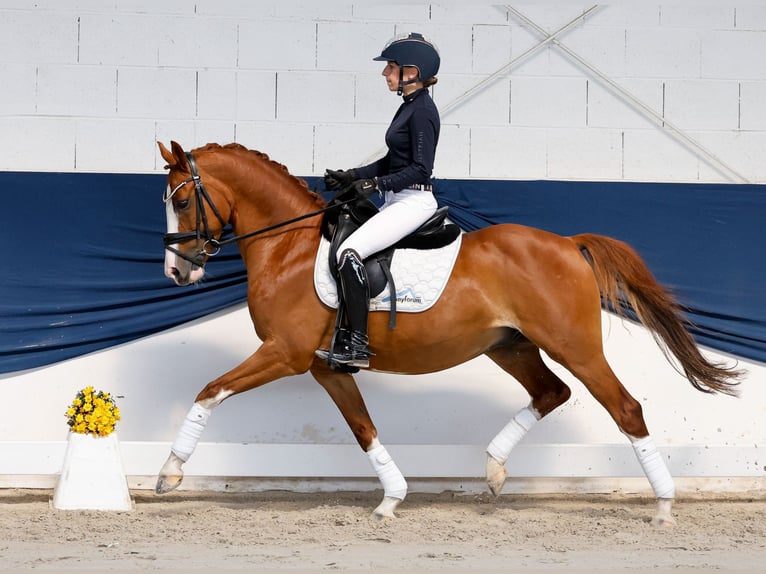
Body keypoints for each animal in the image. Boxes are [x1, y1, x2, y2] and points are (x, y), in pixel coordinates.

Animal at [155, 140, 741, 526]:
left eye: (181, 202)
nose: (178, 273)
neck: (289, 247)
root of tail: (569, 243)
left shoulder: (285, 354)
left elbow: (209, 391)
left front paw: (169, 473)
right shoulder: (326, 367)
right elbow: (364, 428)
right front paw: (392, 498)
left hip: (573, 346)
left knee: (625, 408)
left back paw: (663, 506)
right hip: (510, 346)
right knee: (551, 392)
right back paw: (495, 470)